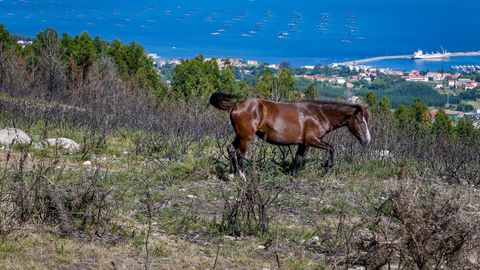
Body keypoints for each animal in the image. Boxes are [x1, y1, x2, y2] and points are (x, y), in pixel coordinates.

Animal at [210, 92, 372, 178]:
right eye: (360, 121)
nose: (367, 140)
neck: (319, 114)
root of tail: (236, 105)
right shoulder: (312, 140)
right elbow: (331, 148)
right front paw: (326, 167)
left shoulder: (303, 143)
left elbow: (298, 159)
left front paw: (293, 176)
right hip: (246, 137)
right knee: (240, 154)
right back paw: (243, 177)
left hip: (239, 135)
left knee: (230, 149)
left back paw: (232, 174)